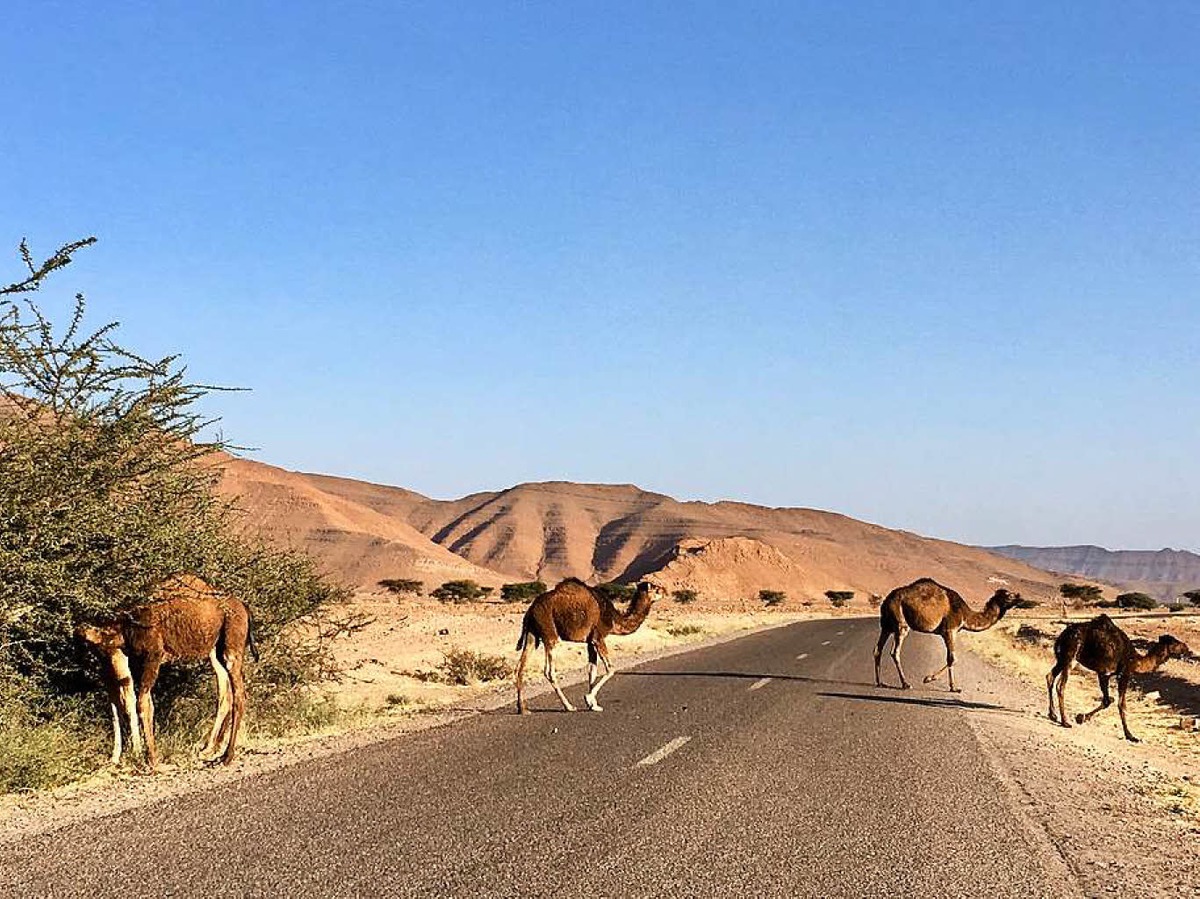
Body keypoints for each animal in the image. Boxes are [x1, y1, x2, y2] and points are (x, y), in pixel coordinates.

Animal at [76, 576, 256, 763]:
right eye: (96, 654)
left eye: (107, 650)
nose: (109, 675)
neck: (126, 630)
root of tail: (244, 608)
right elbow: (131, 705)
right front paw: (127, 755)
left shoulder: (153, 656)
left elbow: (142, 704)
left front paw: (152, 758)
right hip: (215, 651)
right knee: (225, 693)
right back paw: (209, 749)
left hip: (231, 648)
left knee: (239, 695)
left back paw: (227, 756)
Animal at [516, 578, 667, 710]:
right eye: (656, 588)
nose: (665, 591)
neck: (613, 619)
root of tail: (531, 610)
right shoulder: (598, 637)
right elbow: (610, 668)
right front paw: (588, 698)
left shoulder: (590, 642)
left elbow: (592, 671)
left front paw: (593, 704)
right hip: (549, 631)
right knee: (549, 671)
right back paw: (569, 706)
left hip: (532, 634)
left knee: (521, 667)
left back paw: (522, 708)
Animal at [873, 578, 1022, 691]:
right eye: (1009, 596)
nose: (1020, 597)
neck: (965, 615)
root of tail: (887, 601)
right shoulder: (950, 630)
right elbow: (952, 658)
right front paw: (948, 685)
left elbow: (952, 658)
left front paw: (934, 680)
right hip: (900, 622)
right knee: (895, 651)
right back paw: (905, 684)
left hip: (886, 625)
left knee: (877, 649)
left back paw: (880, 682)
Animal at [1041, 614, 1190, 739]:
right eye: (1175, 642)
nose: (1186, 647)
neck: (1135, 660)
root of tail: (1063, 636)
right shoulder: (1123, 673)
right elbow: (1121, 704)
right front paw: (1130, 735)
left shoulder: (1104, 674)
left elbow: (1108, 700)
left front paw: (1081, 717)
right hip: (1071, 656)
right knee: (1061, 685)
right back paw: (1065, 721)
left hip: (1061, 658)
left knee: (1050, 676)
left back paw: (1053, 715)